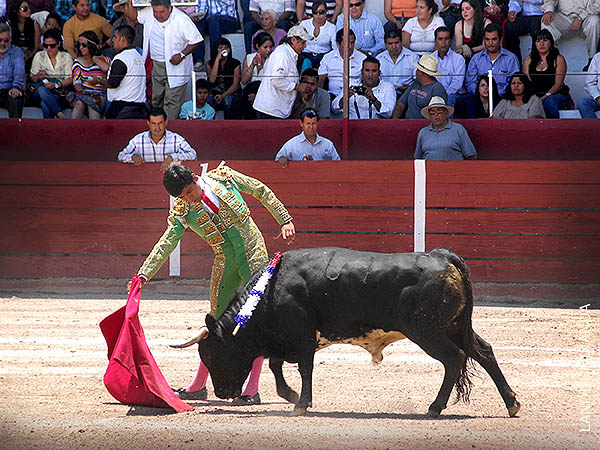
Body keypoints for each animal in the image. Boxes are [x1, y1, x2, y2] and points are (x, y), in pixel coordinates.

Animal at [178, 248, 520, 416]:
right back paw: (512, 404)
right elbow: (276, 366)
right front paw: (292, 396)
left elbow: (303, 368)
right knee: (484, 352)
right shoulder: (288, 340)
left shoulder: (301, 335)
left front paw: (301, 403)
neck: (270, 290)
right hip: (456, 326)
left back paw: (435, 407)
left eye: (212, 354)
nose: (223, 393)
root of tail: (443, 256)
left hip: (427, 331)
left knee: (453, 359)